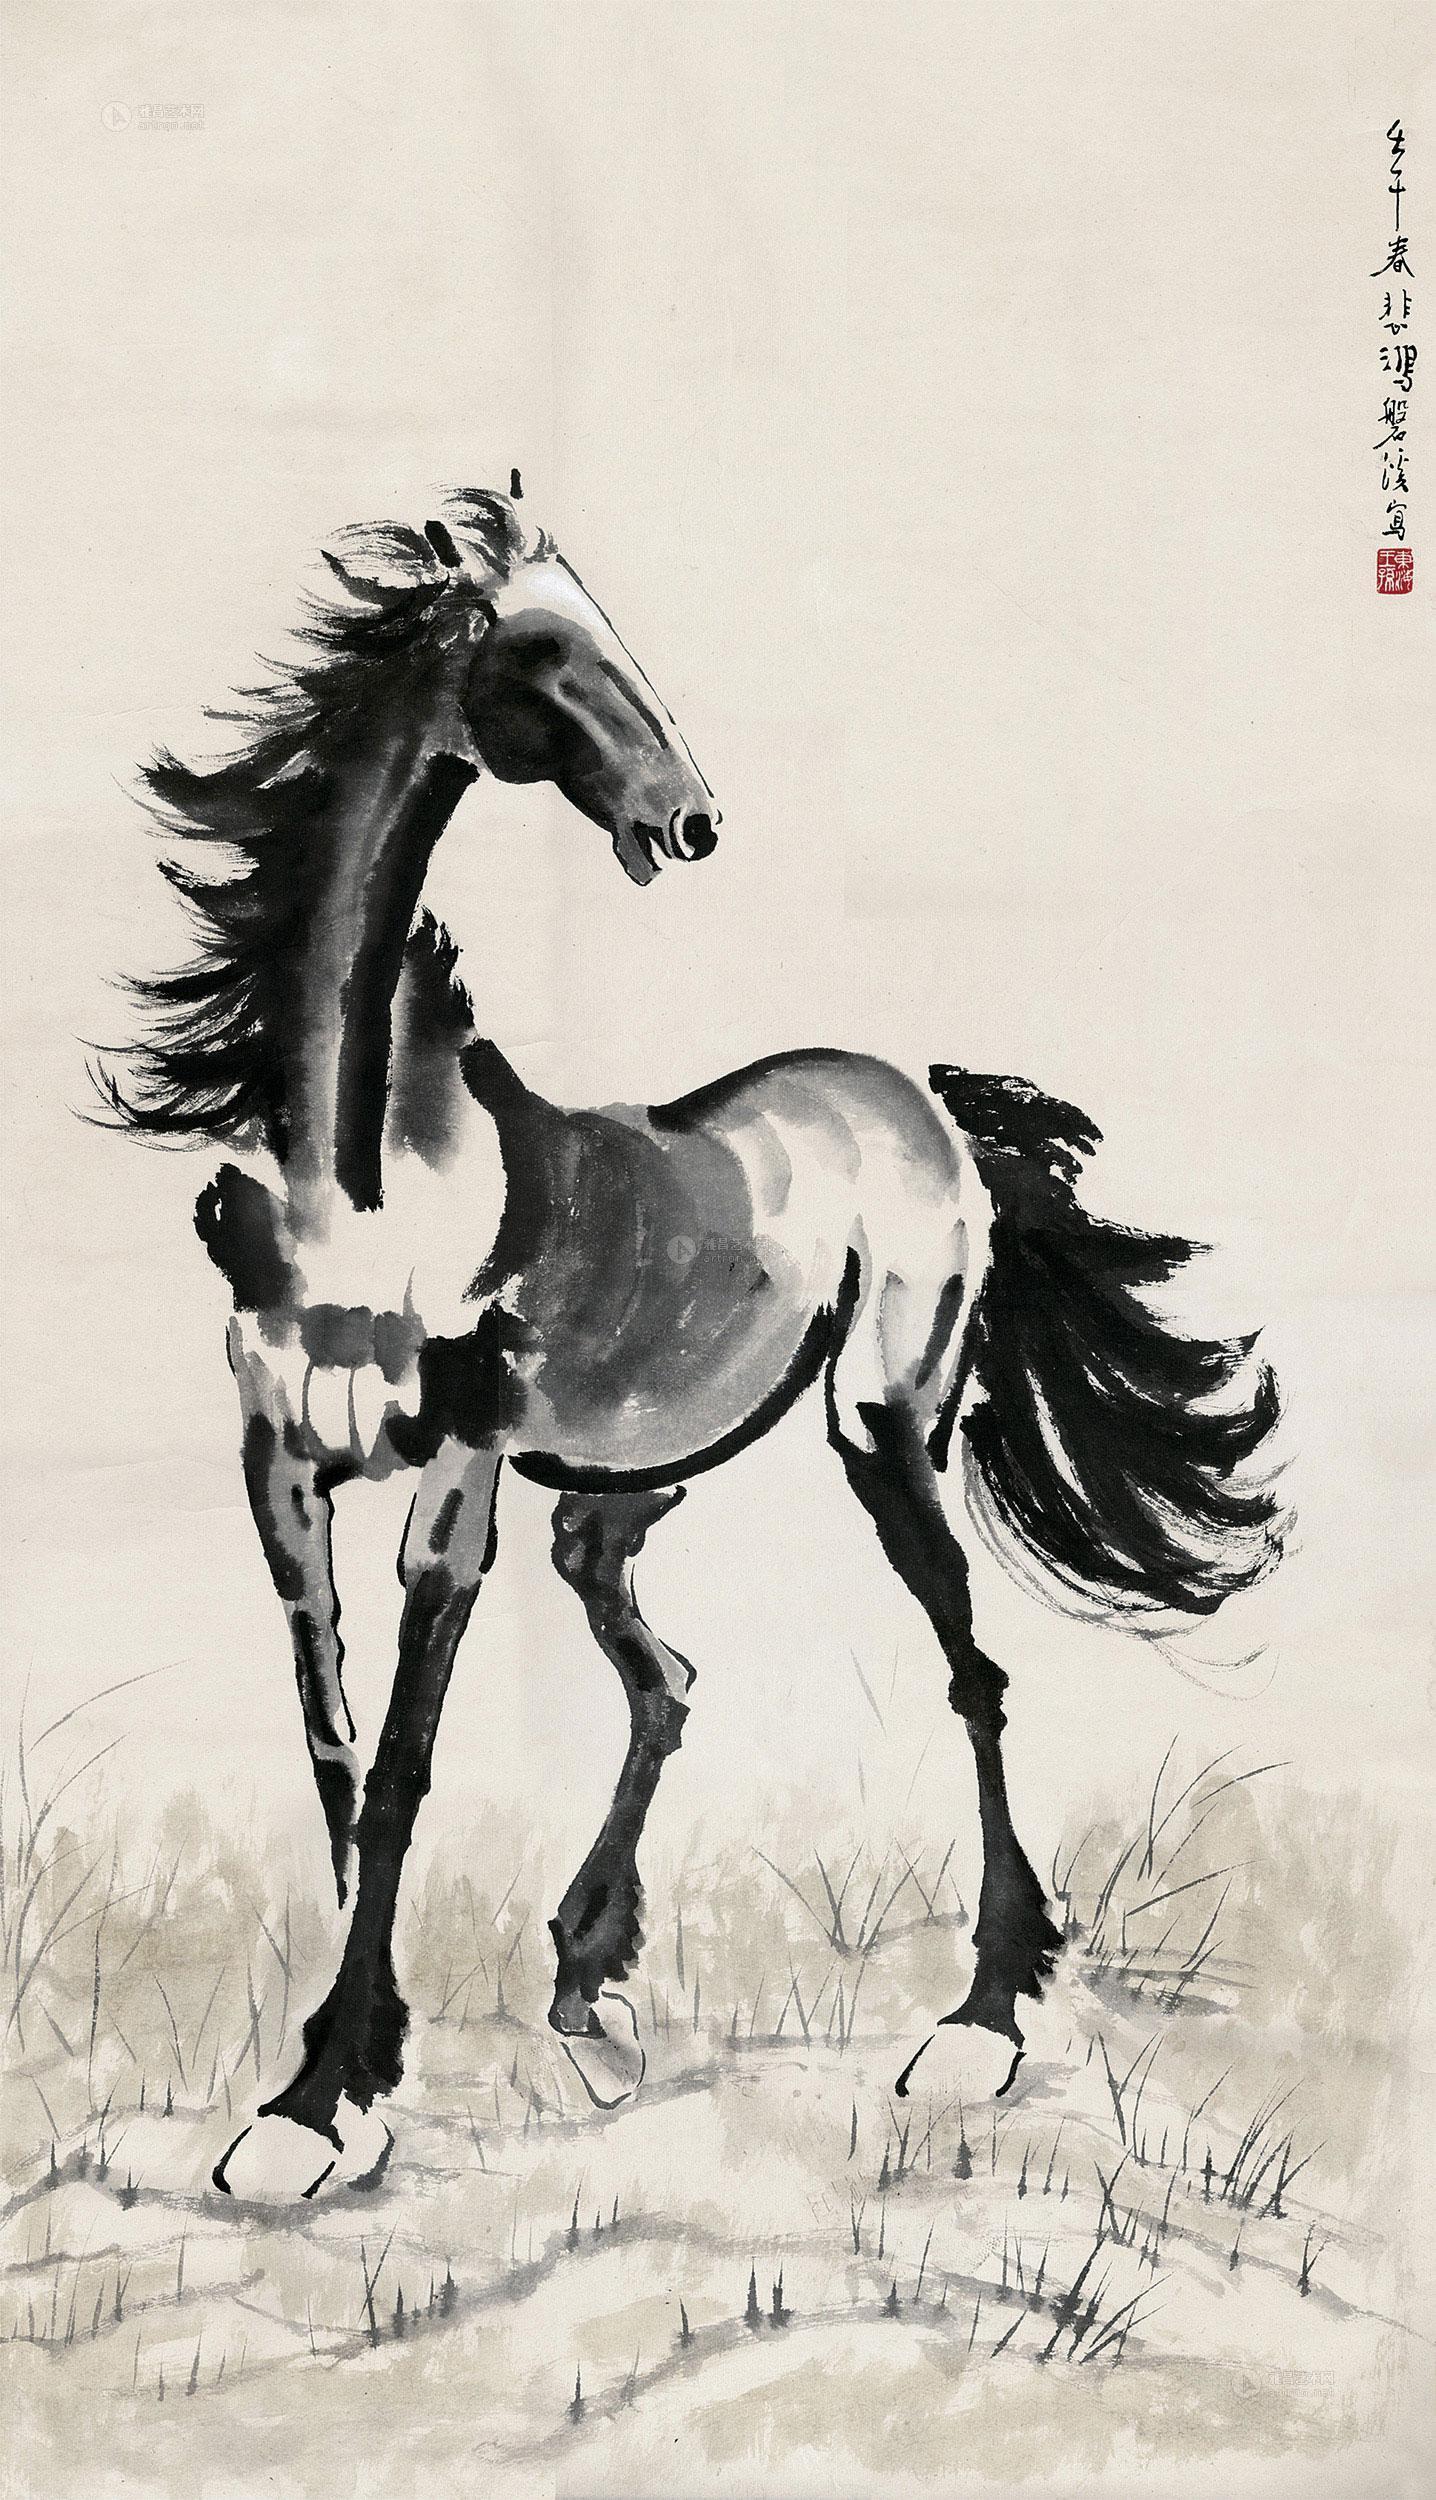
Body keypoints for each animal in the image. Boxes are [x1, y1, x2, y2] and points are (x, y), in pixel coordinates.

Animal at [97, 484, 1284, 2201]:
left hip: (881, 1426)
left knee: (972, 1671)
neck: (359, 1180)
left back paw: (979, 2024)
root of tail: (921, 1097)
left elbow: (399, 1772)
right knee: (667, 1680)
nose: (692, 822)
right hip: (619, 1487)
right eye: (542, 649)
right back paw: (590, 1986)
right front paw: (346, 2070)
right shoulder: (278, 1465)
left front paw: (319, 2100)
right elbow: (333, 1747)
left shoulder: (458, 1477)